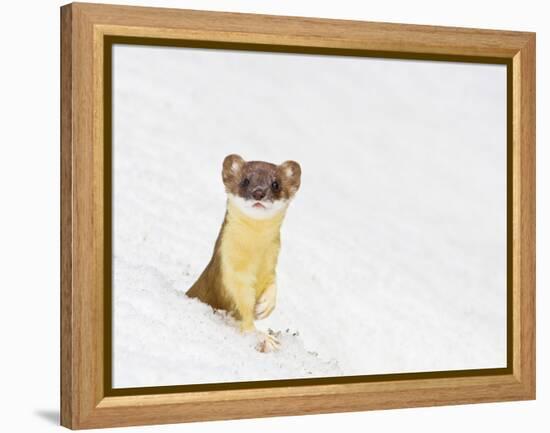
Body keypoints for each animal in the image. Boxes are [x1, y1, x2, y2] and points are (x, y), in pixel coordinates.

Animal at [189, 154, 302, 352]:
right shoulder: (229, 273)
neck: (255, 256)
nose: (259, 192)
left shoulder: (270, 265)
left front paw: (265, 306)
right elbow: (241, 307)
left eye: (276, 184)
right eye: (245, 180)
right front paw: (263, 337)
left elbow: (273, 283)